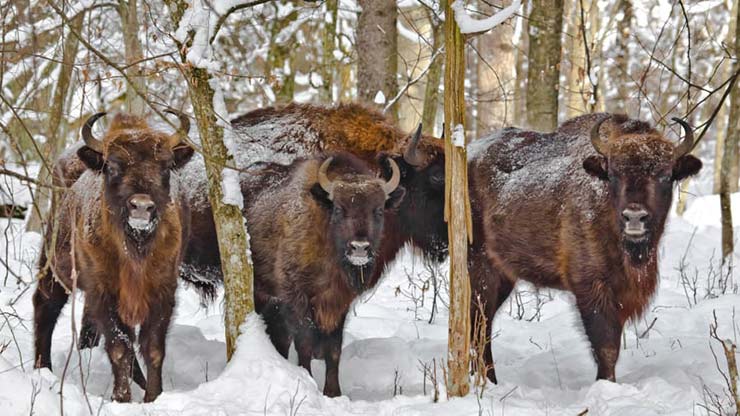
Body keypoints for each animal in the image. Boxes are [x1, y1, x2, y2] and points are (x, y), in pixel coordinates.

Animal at [33, 109, 195, 402]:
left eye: (166, 167)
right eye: (112, 166)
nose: (141, 206)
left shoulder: (163, 291)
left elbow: (153, 348)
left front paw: (153, 396)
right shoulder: (106, 292)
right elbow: (120, 346)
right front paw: (122, 398)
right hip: (54, 264)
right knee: (45, 306)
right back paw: (43, 368)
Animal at [250, 152, 408, 396]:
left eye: (379, 210)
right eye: (339, 209)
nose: (360, 248)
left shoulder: (339, 304)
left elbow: (334, 349)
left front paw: (333, 392)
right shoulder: (298, 298)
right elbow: (304, 342)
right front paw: (307, 380)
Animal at [466, 113, 704, 384]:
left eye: (665, 175)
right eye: (613, 174)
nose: (634, 217)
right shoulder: (592, 287)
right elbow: (606, 346)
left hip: (504, 275)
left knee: (482, 325)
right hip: (480, 267)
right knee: (479, 323)